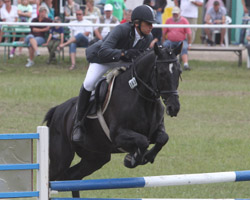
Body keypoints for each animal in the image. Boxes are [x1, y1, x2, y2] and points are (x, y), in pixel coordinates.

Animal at [44, 43, 182, 197]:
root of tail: (57, 110)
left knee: (72, 177)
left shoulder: (156, 131)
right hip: (61, 158)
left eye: (179, 72)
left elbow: (163, 138)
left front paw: (147, 156)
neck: (141, 97)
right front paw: (132, 159)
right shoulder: (117, 135)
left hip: (96, 157)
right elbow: (142, 141)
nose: (174, 108)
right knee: (52, 177)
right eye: (162, 73)